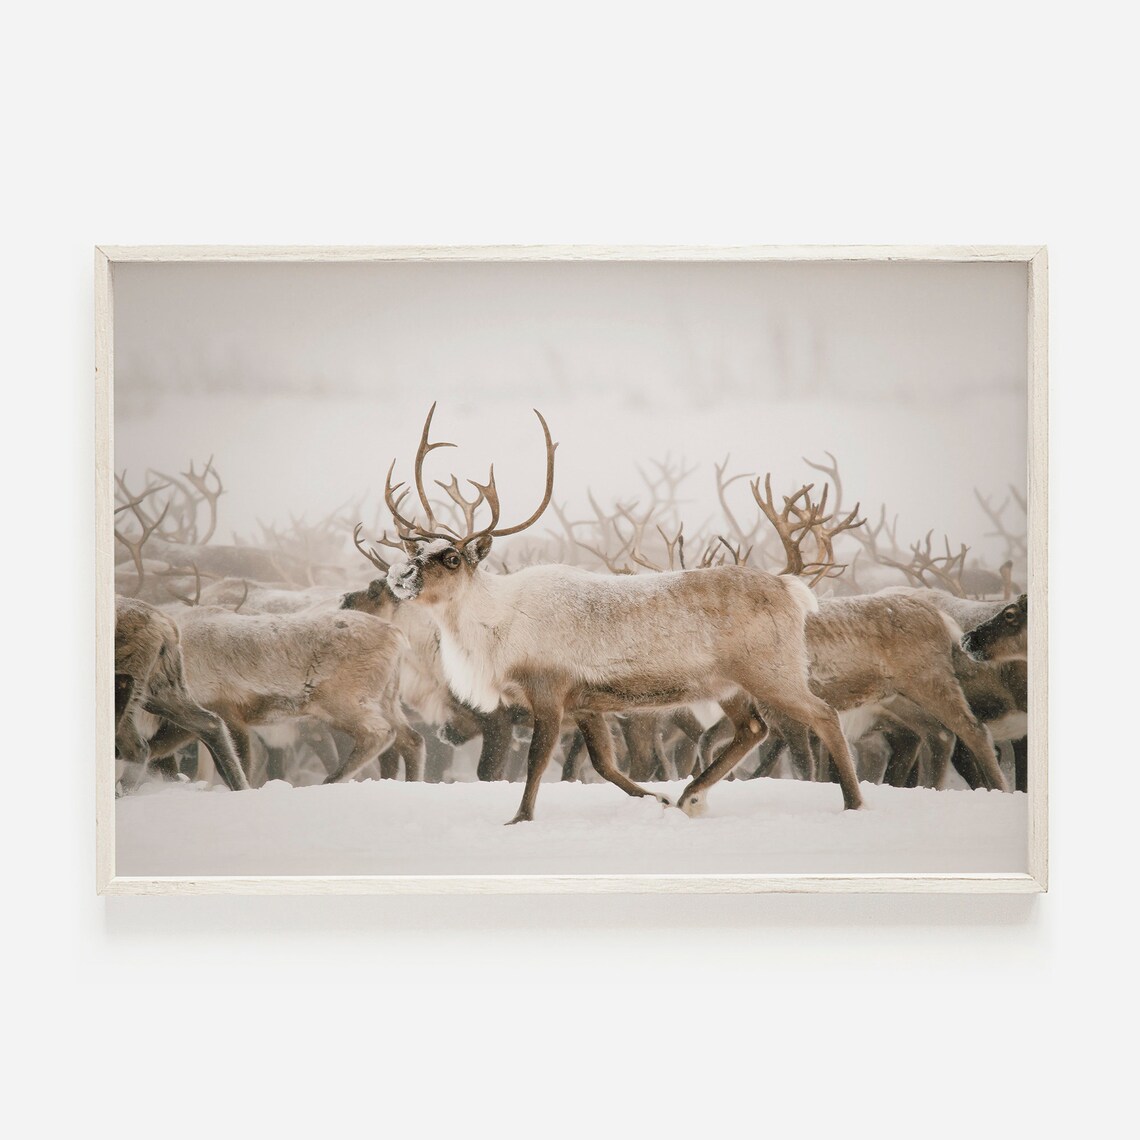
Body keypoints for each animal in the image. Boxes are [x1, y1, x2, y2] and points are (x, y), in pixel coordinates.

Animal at [366, 403, 862, 824]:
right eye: (416, 549)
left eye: (451, 558)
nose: (399, 575)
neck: (496, 625)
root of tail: (791, 588)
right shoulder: (587, 703)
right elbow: (604, 765)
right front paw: (657, 798)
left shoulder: (549, 690)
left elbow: (537, 761)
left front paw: (519, 818)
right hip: (728, 684)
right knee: (753, 728)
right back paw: (690, 796)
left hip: (771, 671)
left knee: (823, 715)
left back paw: (853, 803)